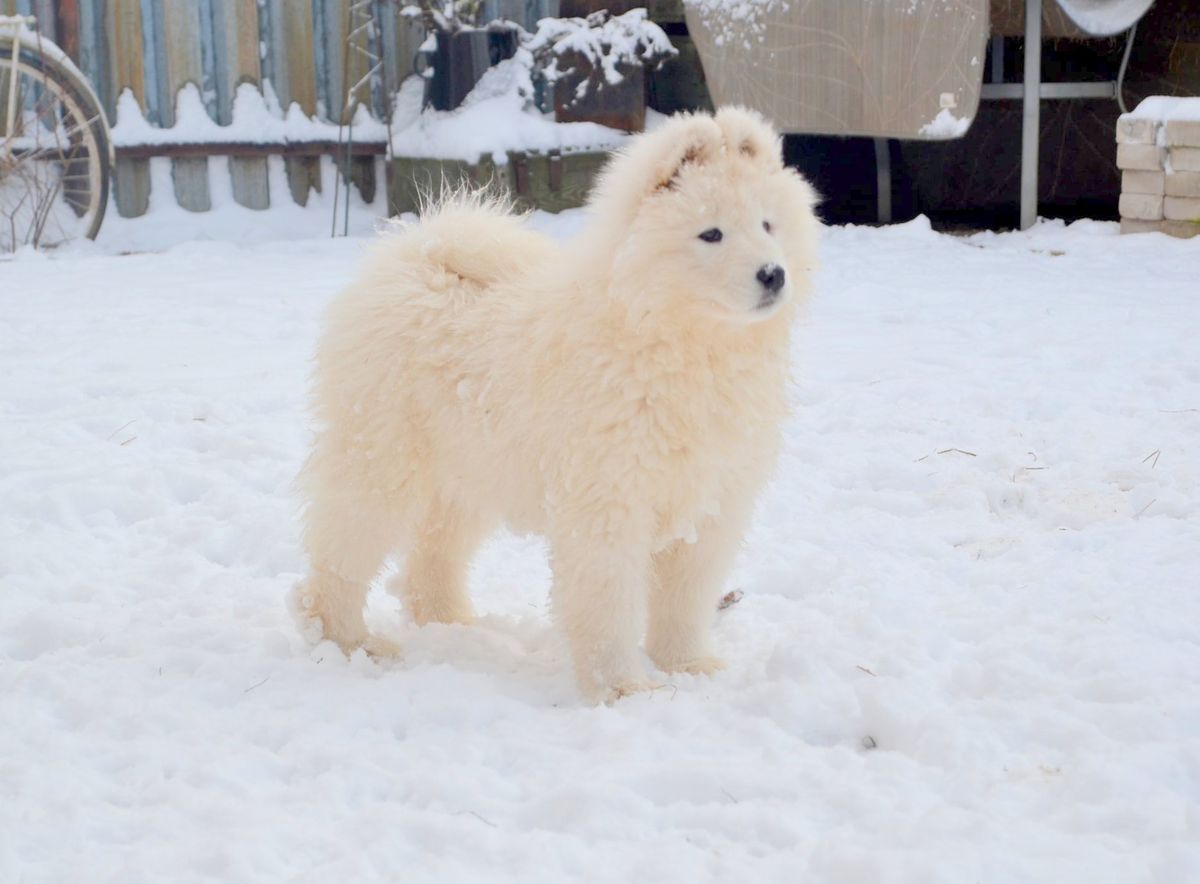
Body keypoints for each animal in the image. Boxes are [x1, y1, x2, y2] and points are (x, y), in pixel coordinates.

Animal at [290, 108, 820, 705]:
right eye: (712, 234)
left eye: (768, 226)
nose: (773, 274)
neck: (679, 344)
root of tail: (417, 252)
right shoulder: (609, 503)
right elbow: (609, 605)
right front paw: (624, 691)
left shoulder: (711, 504)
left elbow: (684, 599)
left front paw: (690, 667)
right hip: (383, 463)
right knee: (341, 555)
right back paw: (348, 642)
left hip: (466, 475)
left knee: (432, 557)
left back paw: (456, 626)